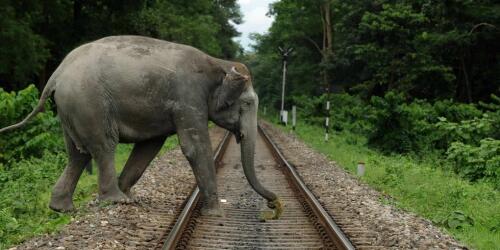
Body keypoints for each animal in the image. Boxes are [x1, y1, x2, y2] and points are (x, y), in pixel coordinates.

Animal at [0, 35, 282, 219]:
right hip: (88, 102)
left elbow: (149, 146)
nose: (275, 205)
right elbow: (194, 147)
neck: (218, 63)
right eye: (247, 103)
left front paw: (131, 194)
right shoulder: (188, 98)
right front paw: (216, 211)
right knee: (103, 146)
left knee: (77, 155)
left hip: (70, 108)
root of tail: (56, 75)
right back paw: (115, 201)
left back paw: (64, 208)